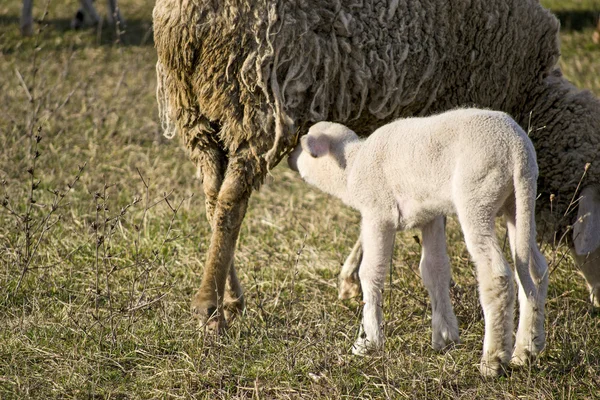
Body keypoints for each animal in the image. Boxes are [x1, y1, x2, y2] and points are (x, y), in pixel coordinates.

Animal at [152, 0, 600, 332]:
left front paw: (351, 276)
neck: (528, 97)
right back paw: (209, 307)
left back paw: (230, 296)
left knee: (213, 196)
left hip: (197, 109)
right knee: (231, 201)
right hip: (255, 99)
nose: (598, 304)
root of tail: (189, 19)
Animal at [288, 108, 552, 376]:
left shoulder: (378, 213)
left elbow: (371, 273)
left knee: (497, 276)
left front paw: (367, 342)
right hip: (518, 203)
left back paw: (493, 361)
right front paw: (445, 337)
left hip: (477, 195)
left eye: (303, 142)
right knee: (535, 270)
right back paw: (527, 350)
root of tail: (517, 149)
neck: (350, 168)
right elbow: (434, 270)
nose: (289, 158)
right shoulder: (430, 216)